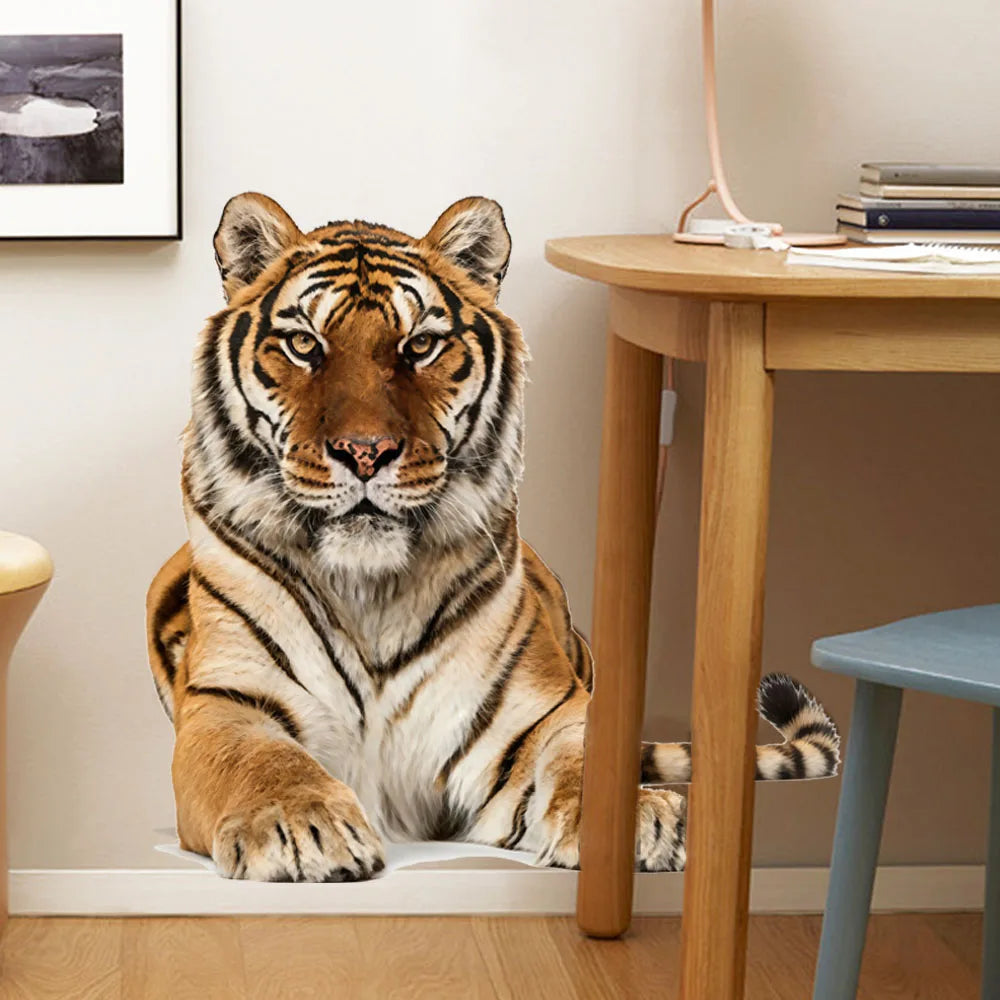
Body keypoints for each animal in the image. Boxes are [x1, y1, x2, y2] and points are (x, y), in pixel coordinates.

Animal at [146, 192, 840, 882]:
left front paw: (637, 818)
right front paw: (298, 827)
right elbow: (261, 759)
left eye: (421, 345)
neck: (370, 590)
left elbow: (589, 760)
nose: (366, 452)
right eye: (302, 344)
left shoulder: (542, 710)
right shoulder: (228, 701)